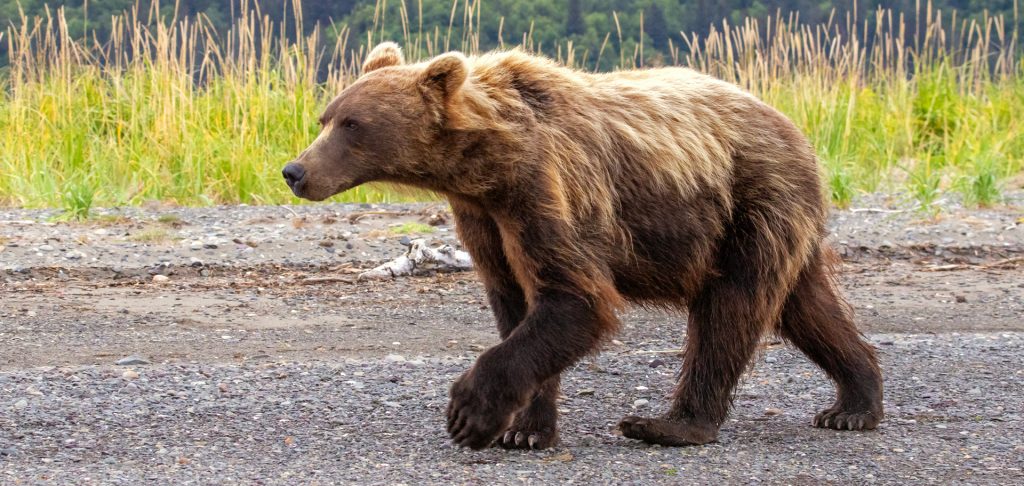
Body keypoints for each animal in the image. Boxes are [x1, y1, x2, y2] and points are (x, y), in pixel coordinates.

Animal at [282, 43, 888, 450]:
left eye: (352, 124)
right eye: (326, 116)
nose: (295, 170)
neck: (488, 167)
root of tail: (797, 131)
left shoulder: (549, 189)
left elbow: (576, 297)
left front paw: (470, 413)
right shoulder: (485, 220)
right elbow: (517, 304)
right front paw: (525, 430)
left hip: (751, 203)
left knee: (729, 312)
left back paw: (670, 424)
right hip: (771, 222)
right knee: (807, 307)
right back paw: (854, 403)